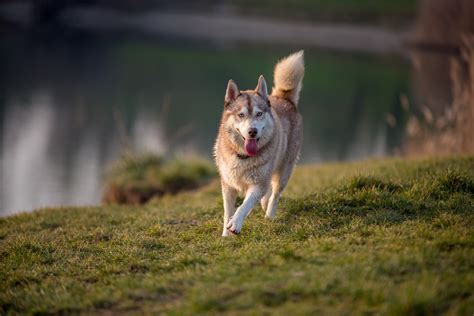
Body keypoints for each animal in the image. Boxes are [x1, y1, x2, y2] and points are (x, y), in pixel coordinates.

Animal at [214, 50, 306, 236]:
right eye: (241, 115)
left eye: (259, 114)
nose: (252, 131)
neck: (243, 157)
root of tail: (283, 97)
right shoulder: (227, 185)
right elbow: (228, 212)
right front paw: (225, 235)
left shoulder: (257, 184)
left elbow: (244, 205)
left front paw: (236, 224)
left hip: (284, 170)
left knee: (275, 194)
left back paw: (269, 215)